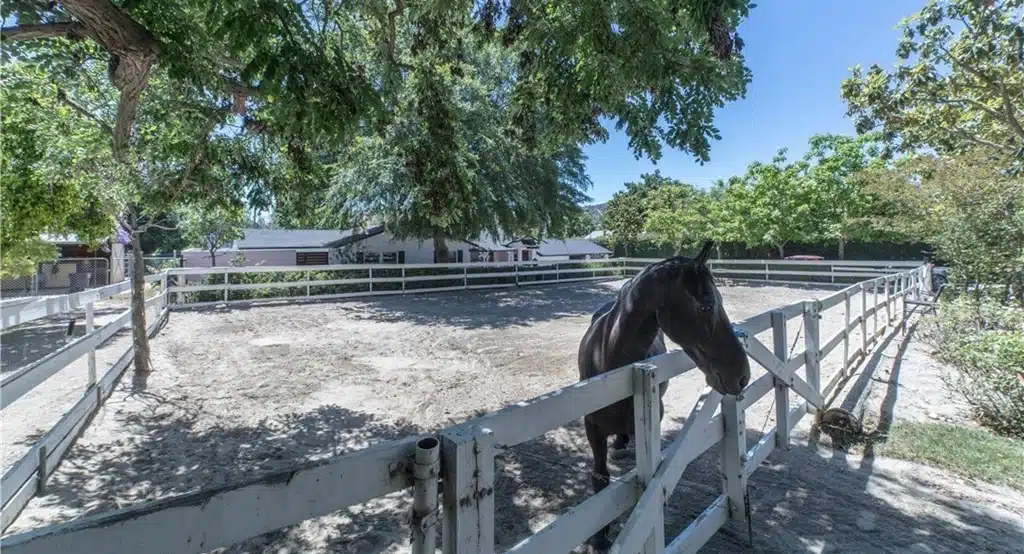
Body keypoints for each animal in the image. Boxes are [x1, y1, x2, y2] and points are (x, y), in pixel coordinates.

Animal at [577, 239, 753, 548]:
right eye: (707, 305)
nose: (742, 375)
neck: (610, 362)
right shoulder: (592, 427)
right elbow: (600, 480)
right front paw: (599, 538)